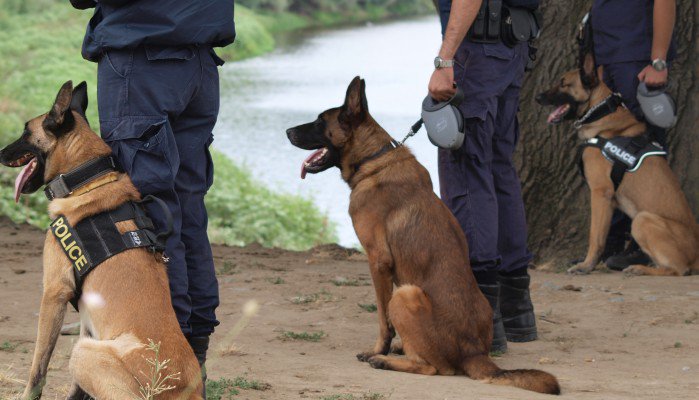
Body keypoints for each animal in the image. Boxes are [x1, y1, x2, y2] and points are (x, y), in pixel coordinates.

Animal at [0, 80, 204, 396]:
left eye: (25, 132)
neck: (85, 179)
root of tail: (183, 388)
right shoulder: (87, 313)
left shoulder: (54, 293)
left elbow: (38, 368)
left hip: (84, 352)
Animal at [288, 77, 560, 394]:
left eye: (320, 121)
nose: (288, 131)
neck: (373, 159)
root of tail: (474, 352)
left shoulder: (378, 262)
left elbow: (382, 320)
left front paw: (378, 349)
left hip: (406, 294)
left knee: (434, 368)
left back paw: (386, 360)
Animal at [536, 54, 699, 276]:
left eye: (563, 84)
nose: (538, 97)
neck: (600, 112)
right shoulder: (610, 200)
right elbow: (604, 233)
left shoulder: (600, 192)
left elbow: (595, 237)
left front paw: (586, 265)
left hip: (642, 219)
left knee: (678, 270)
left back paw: (639, 268)